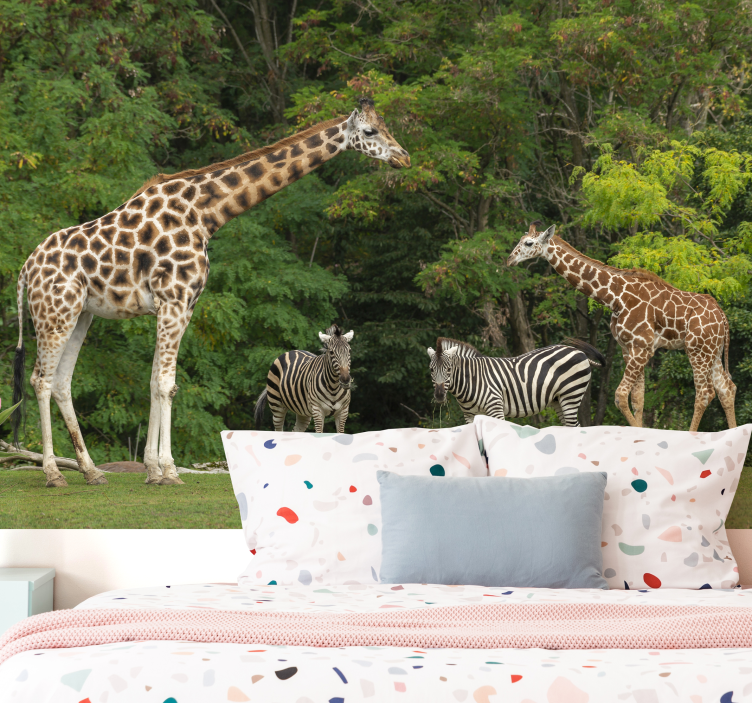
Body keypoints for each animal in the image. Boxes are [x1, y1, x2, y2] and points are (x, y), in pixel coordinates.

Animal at [12, 98, 410, 488]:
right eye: (370, 131)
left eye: (387, 126)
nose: (404, 157)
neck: (206, 214)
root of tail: (25, 270)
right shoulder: (173, 300)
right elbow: (166, 384)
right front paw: (170, 471)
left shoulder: (181, 306)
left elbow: (156, 382)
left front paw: (153, 470)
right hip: (54, 313)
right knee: (40, 380)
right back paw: (53, 473)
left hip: (81, 315)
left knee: (61, 382)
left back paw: (91, 471)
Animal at [426, 337, 605, 426]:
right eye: (431, 370)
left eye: (449, 370)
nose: (439, 395)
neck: (473, 381)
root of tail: (579, 351)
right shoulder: (469, 416)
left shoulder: (495, 408)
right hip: (558, 400)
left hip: (571, 395)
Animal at [506, 223, 736, 431]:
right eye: (520, 239)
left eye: (528, 242)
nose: (509, 260)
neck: (615, 298)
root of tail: (723, 317)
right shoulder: (629, 348)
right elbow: (638, 400)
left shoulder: (642, 348)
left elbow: (620, 396)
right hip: (713, 351)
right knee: (726, 389)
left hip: (697, 350)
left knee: (704, 393)